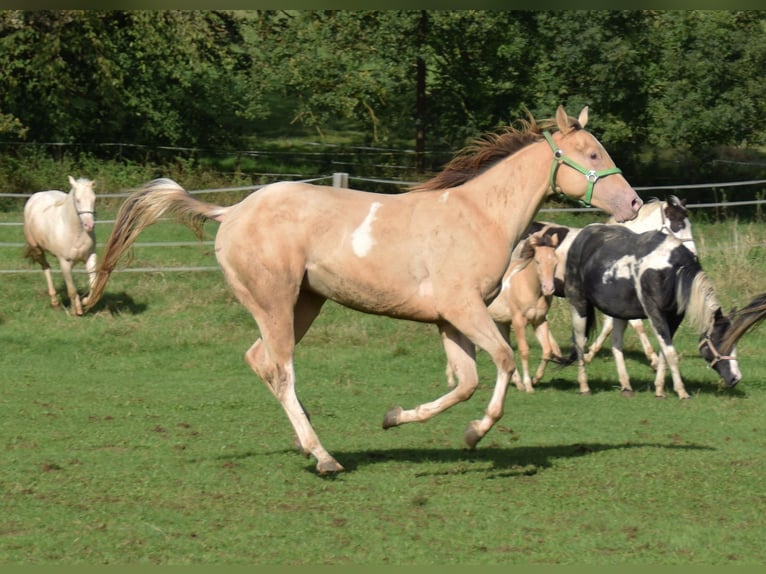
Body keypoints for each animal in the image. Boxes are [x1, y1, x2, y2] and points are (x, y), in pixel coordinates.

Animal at [23, 177, 97, 318]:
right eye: (77, 200)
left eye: (94, 199)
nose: (89, 225)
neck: (76, 232)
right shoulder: (64, 261)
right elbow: (72, 290)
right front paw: (75, 311)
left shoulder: (90, 257)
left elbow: (93, 284)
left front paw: (85, 301)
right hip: (38, 250)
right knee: (46, 268)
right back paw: (55, 302)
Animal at [87, 106, 644, 474]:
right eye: (592, 152)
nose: (636, 203)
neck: (478, 216)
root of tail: (232, 211)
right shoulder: (464, 309)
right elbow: (503, 363)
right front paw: (474, 434)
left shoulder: (449, 320)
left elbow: (464, 382)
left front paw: (394, 418)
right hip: (276, 303)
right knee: (281, 369)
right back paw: (324, 457)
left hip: (304, 304)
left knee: (260, 360)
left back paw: (309, 443)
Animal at [564, 225, 766, 400]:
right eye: (721, 342)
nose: (735, 378)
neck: (672, 270)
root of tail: (583, 235)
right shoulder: (655, 313)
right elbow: (671, 353)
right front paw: (682, 392)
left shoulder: (673, 318)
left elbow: (664, 352)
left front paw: (660, 390)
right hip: (579, 305)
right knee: (579, 342)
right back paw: (584, 386)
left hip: (619, 312)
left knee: (616, 344)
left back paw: (626, 387)